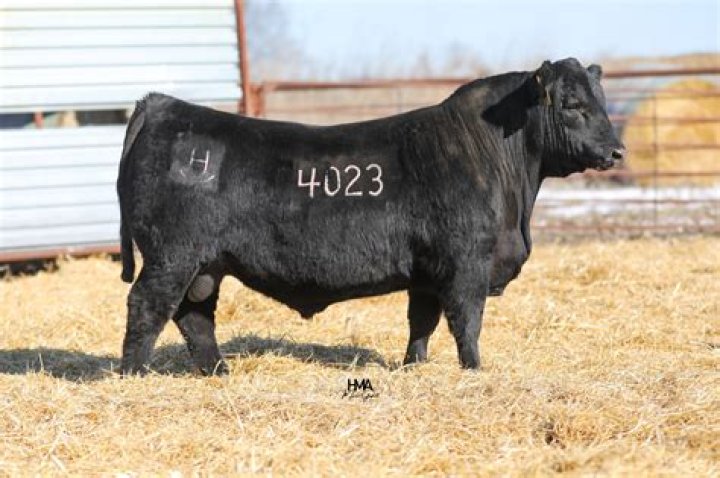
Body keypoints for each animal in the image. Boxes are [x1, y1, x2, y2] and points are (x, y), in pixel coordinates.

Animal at [117, 58, 624, 376]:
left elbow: (422, 322)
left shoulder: (428, 272)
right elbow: (466, 320)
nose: (617, 151)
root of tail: (161, 104)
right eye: (573, 105)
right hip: (172, 255)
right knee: (147, 306)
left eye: (600, 101)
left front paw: (415, 367)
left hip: (206, 264)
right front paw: (475, 370)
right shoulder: (467, 263)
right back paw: (135, 375)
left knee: (194, 315)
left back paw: (218, 372)